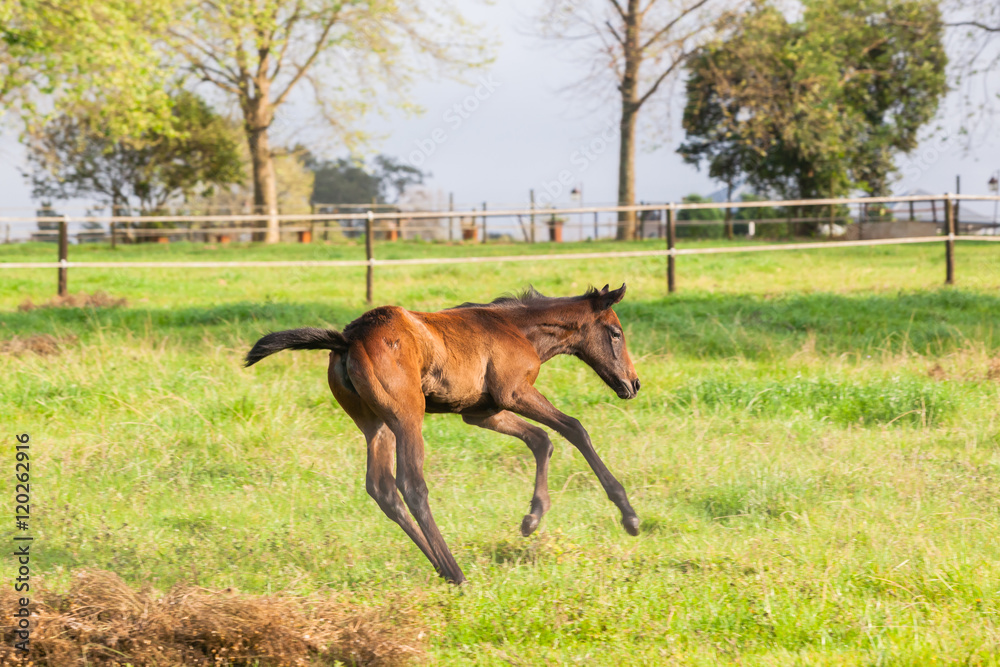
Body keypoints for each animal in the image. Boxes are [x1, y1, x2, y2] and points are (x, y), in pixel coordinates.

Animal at [246, 284, 644, 584]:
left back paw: (442, 568)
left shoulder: (481, 412)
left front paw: (532, 518)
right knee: (411, 484)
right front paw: (628, 514)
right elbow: (575, 428)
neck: (517, 328)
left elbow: (540, 440)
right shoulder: (515, 393)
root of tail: (347, 339)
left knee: (381, 487)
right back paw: (456, 572)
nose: (633, 384)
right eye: (615, 332)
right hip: (407, 416)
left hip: (375, 425)